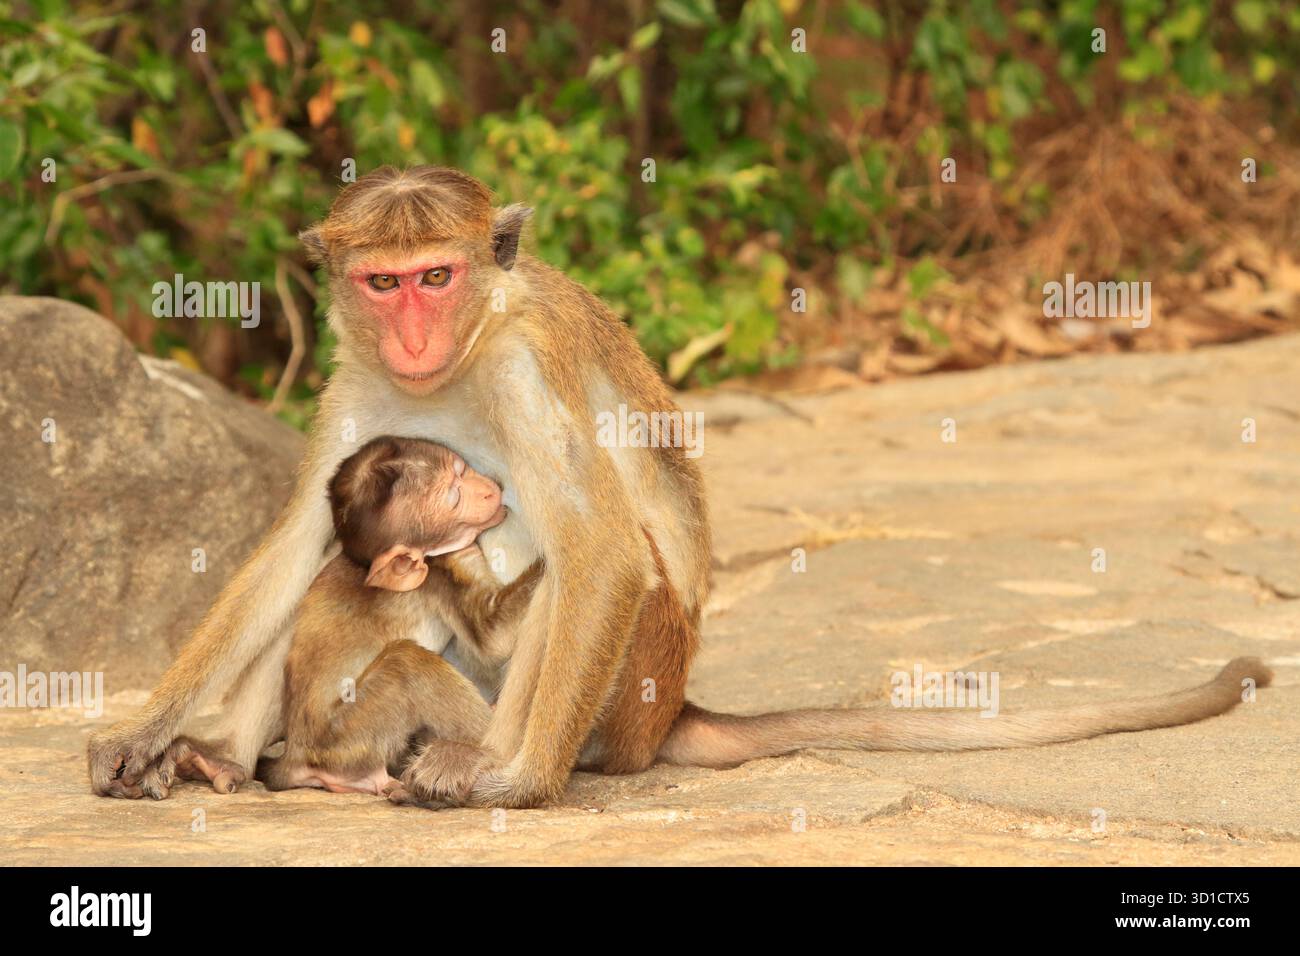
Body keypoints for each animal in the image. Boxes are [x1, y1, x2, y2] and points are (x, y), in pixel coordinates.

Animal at [256, 436, 541, 796]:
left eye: (462, 470)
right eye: (455, 498)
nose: (489, 490)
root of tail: (295, 756)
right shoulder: (444, 570)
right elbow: (492, 636)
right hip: (345, 737)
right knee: (407, 662)